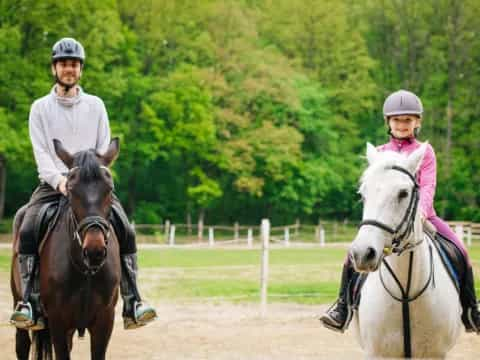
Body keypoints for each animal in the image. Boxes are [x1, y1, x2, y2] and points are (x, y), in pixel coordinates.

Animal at [11, 139, 121, 360]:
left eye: (109, 189)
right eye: (71, 189)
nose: (94, 251)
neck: (85, 270)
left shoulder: (104, 322)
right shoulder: (58, 322)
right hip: (18, 302)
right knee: (22, 345)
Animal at [350, 143, 464, 358]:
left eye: (403, 193)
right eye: (363, 194)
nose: (362, 254)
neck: (405, 291)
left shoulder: (435, 354)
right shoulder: (376, 354)